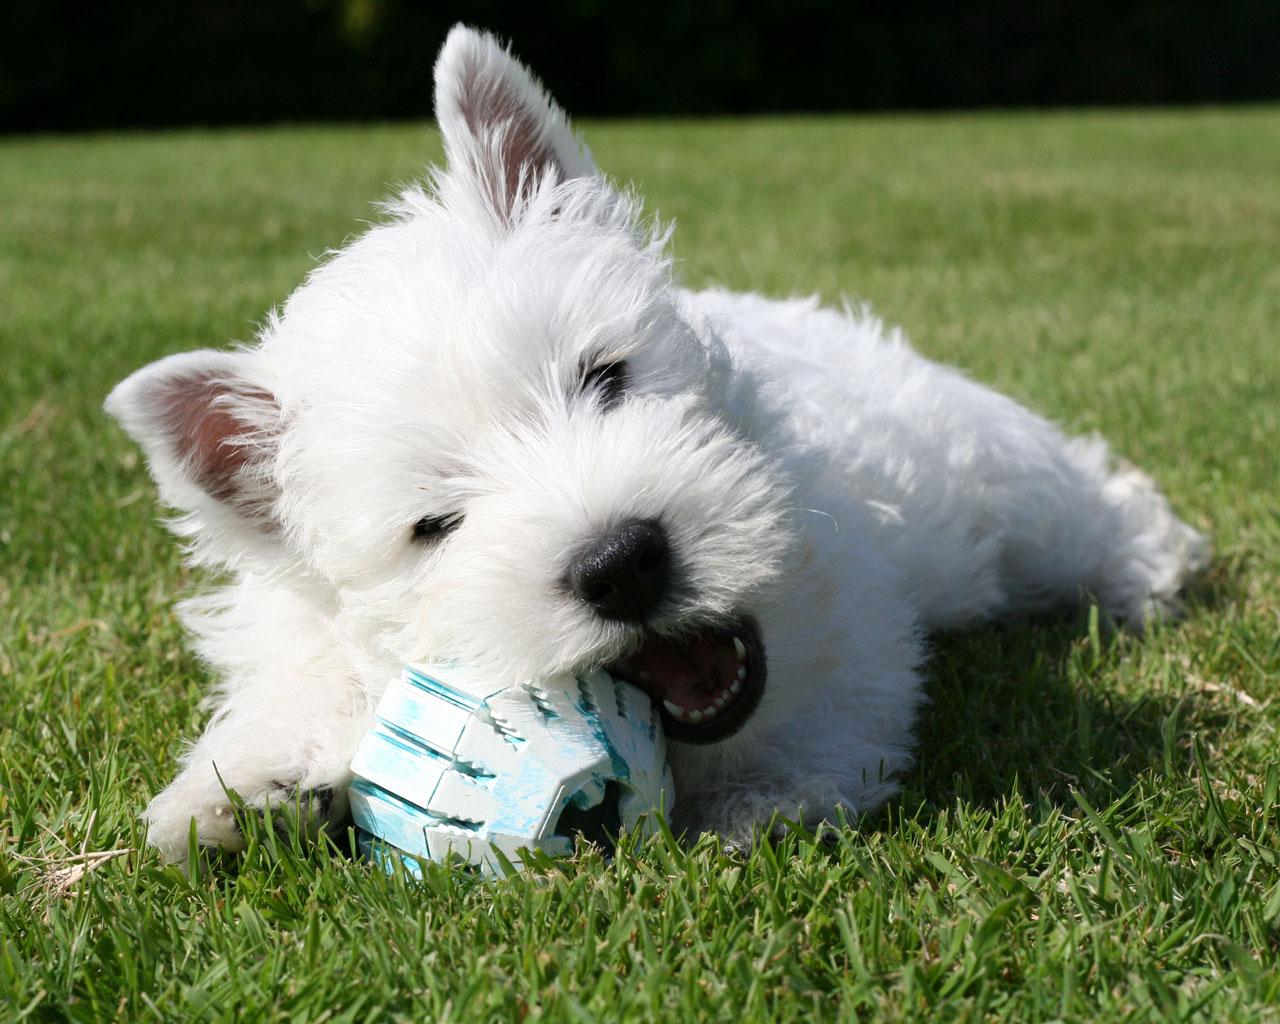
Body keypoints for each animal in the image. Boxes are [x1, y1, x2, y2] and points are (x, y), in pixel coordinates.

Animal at [104, 24, 1203, 860]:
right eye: (435, 525)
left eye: (605, 377)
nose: (622, 563)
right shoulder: (299, 621)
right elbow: (305, 679)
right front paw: (241, 792)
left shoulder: (850, 612)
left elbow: (837, 704)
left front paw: (761, 803)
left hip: (996, 483)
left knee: (1083, 505)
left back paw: (1144, 570)